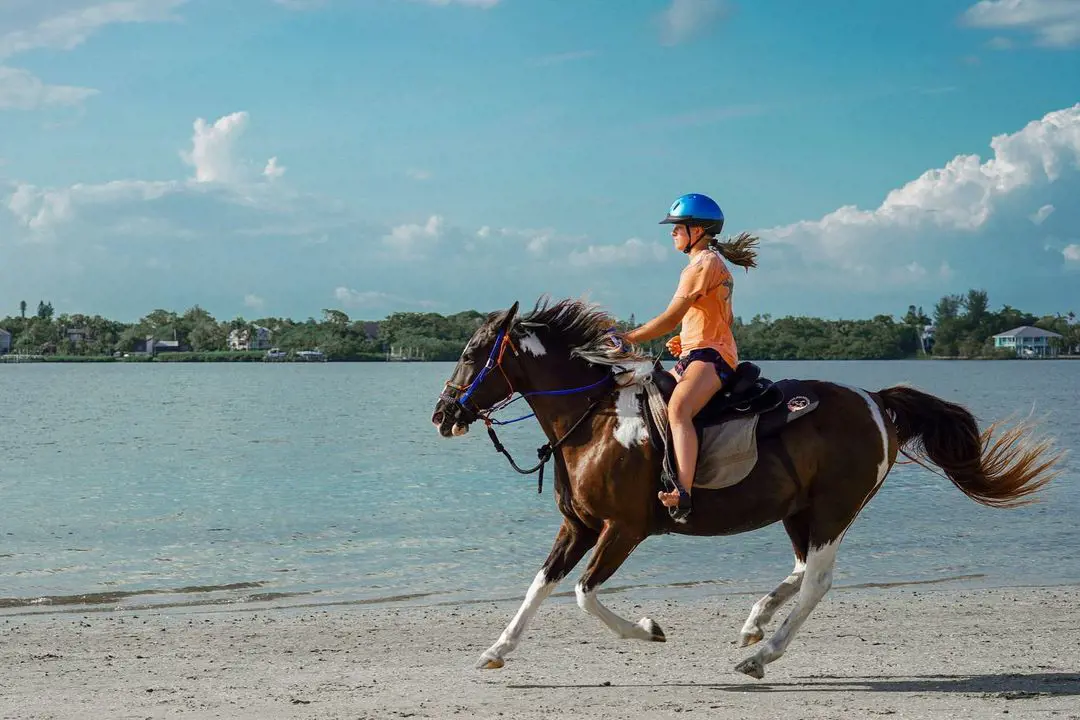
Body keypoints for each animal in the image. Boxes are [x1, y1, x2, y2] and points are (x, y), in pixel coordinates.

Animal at [429, 297, 1062, 682]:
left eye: (471, 354)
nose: (442, 415)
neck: (597, 421)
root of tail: (876, 401)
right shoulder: (580, 525)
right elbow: (539, 586)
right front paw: (497, 650)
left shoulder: (624, 529)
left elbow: (584, 594)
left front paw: (648, 630)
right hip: (799, 511)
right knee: (802, 570)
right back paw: (756, 622)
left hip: (833, 509)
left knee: (817, 582)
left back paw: (762, 654)